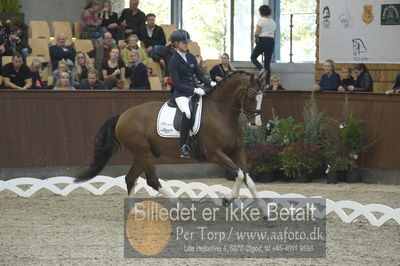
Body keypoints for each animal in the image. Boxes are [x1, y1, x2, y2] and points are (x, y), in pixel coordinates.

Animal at [75, 70, 268, 210]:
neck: (221, 113)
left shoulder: (237, 151)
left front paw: (263, 209)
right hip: (143, 153)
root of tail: (122, 115)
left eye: (262, 97)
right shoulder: (215, 154)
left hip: (144, 153)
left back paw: (134, 211)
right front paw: (227, 200)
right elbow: (239, 174)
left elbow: (248, 179)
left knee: (130, 178)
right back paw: (181, 207)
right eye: (251, 97)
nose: (256, 123)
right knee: (152, 180)